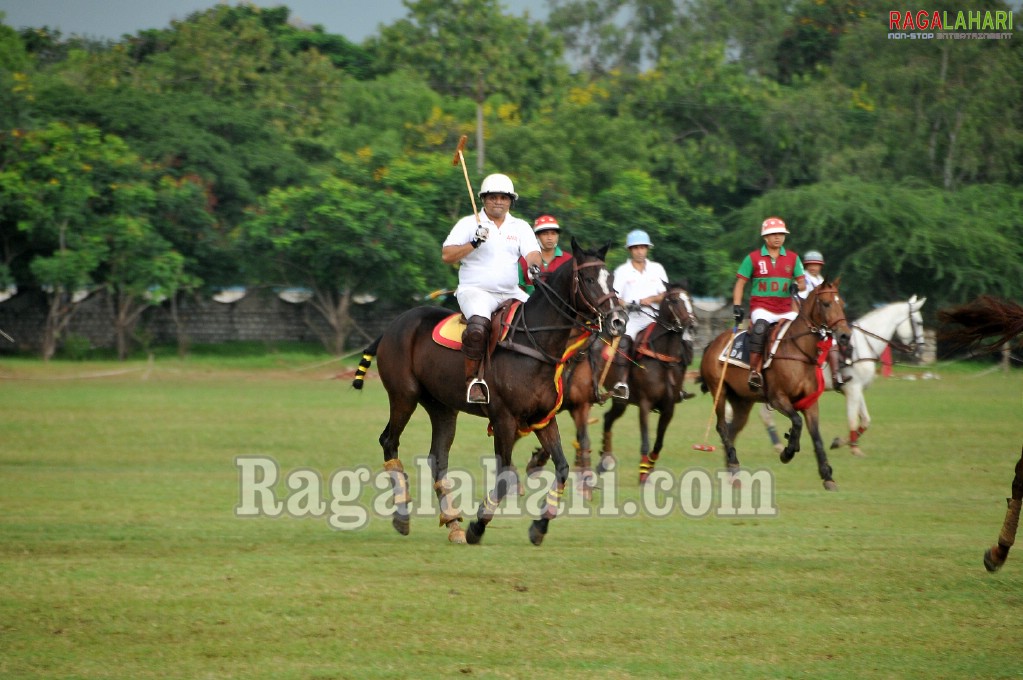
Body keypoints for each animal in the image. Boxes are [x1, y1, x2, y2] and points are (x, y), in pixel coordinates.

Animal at [349, 238, 621, 548]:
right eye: (588, 279)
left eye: (611, 279)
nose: (618, 320)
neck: (536, 343)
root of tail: (390, 327)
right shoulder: (504, 418)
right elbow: (504, 473)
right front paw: (477, 526)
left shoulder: (543, 418)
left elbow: (562, 466)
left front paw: (539, 527)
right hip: (403, 395)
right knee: (389, 441)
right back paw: (403, 517)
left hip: (442, 406)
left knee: (437, 457)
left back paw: (452, 523)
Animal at [695, 280, 855, 488]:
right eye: (827, 303)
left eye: (841, 303)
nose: (845, 335)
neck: (800, 351)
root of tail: (712, 343)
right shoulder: (777, 398)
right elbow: (797, 421)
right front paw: (788, 452)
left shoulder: (810, 402)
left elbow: (816, 436)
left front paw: (827, 476)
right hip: (719, 390)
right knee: (722, 427)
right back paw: (733, 463)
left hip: (742, 401)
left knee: (732, 430)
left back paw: (732, 471)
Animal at [752, 294, 928, 454]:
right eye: (919, 322)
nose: (921, 350)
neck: (864, 345)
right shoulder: (852, 389)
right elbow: (853, 420)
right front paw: (853, 449)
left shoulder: (857, 389)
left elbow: (865, 421)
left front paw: (840, 442)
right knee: (764, 414)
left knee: (763, 413)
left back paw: (778, 445)